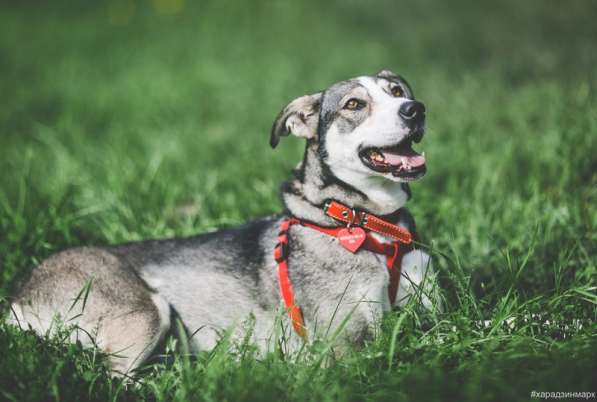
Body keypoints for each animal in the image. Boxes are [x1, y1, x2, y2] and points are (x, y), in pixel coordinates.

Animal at [7, 69, 440, 374]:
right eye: (353, 105)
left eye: (397, 92)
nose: (416, 108)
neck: (370, 225)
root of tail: (18, 298)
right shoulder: (344, 343)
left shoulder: (430, 312)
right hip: (145, 310)